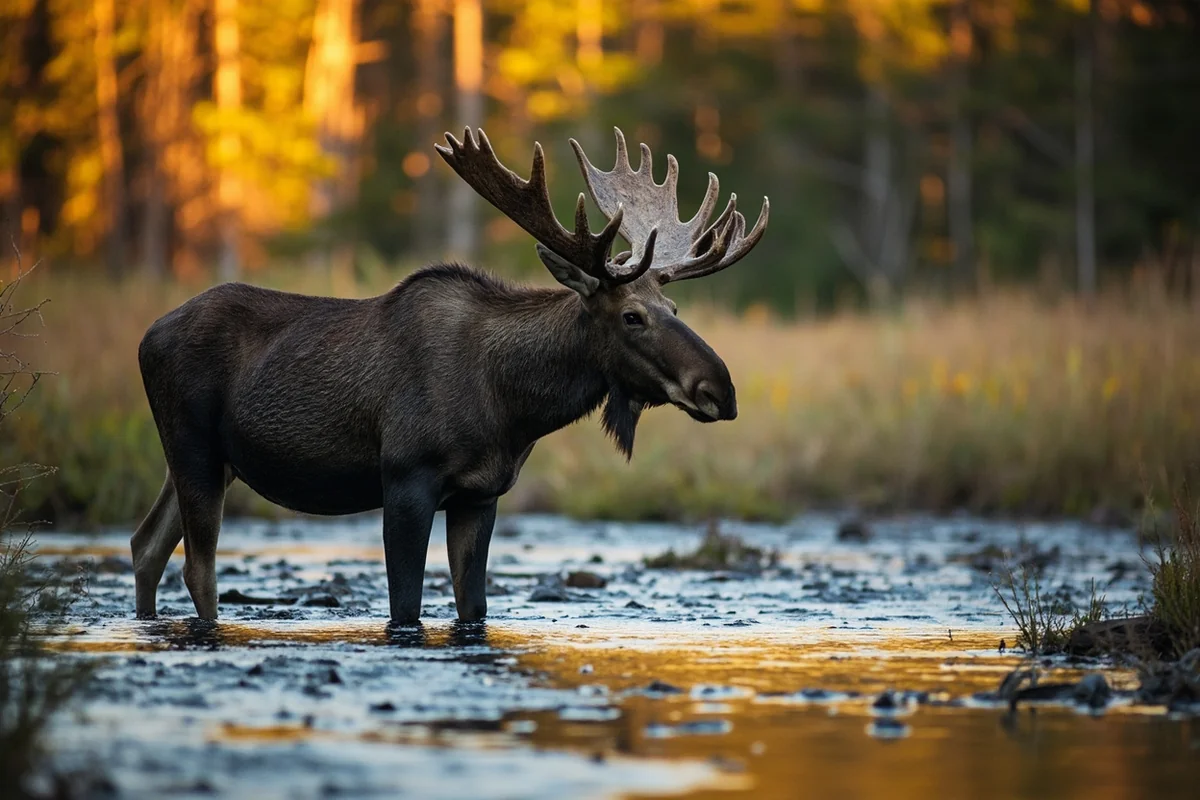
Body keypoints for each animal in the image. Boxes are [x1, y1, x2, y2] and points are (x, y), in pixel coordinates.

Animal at [130, 127, 769, 625]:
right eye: (632, 315)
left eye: (674, 308)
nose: (722, 389)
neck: (513, 410)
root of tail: (146, 336)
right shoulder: (406, 477)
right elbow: (406, 608)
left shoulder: (480, 492)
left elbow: (473, 606)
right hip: (191, 445)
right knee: (198, 566)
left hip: (207, 460)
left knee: (145, 545)